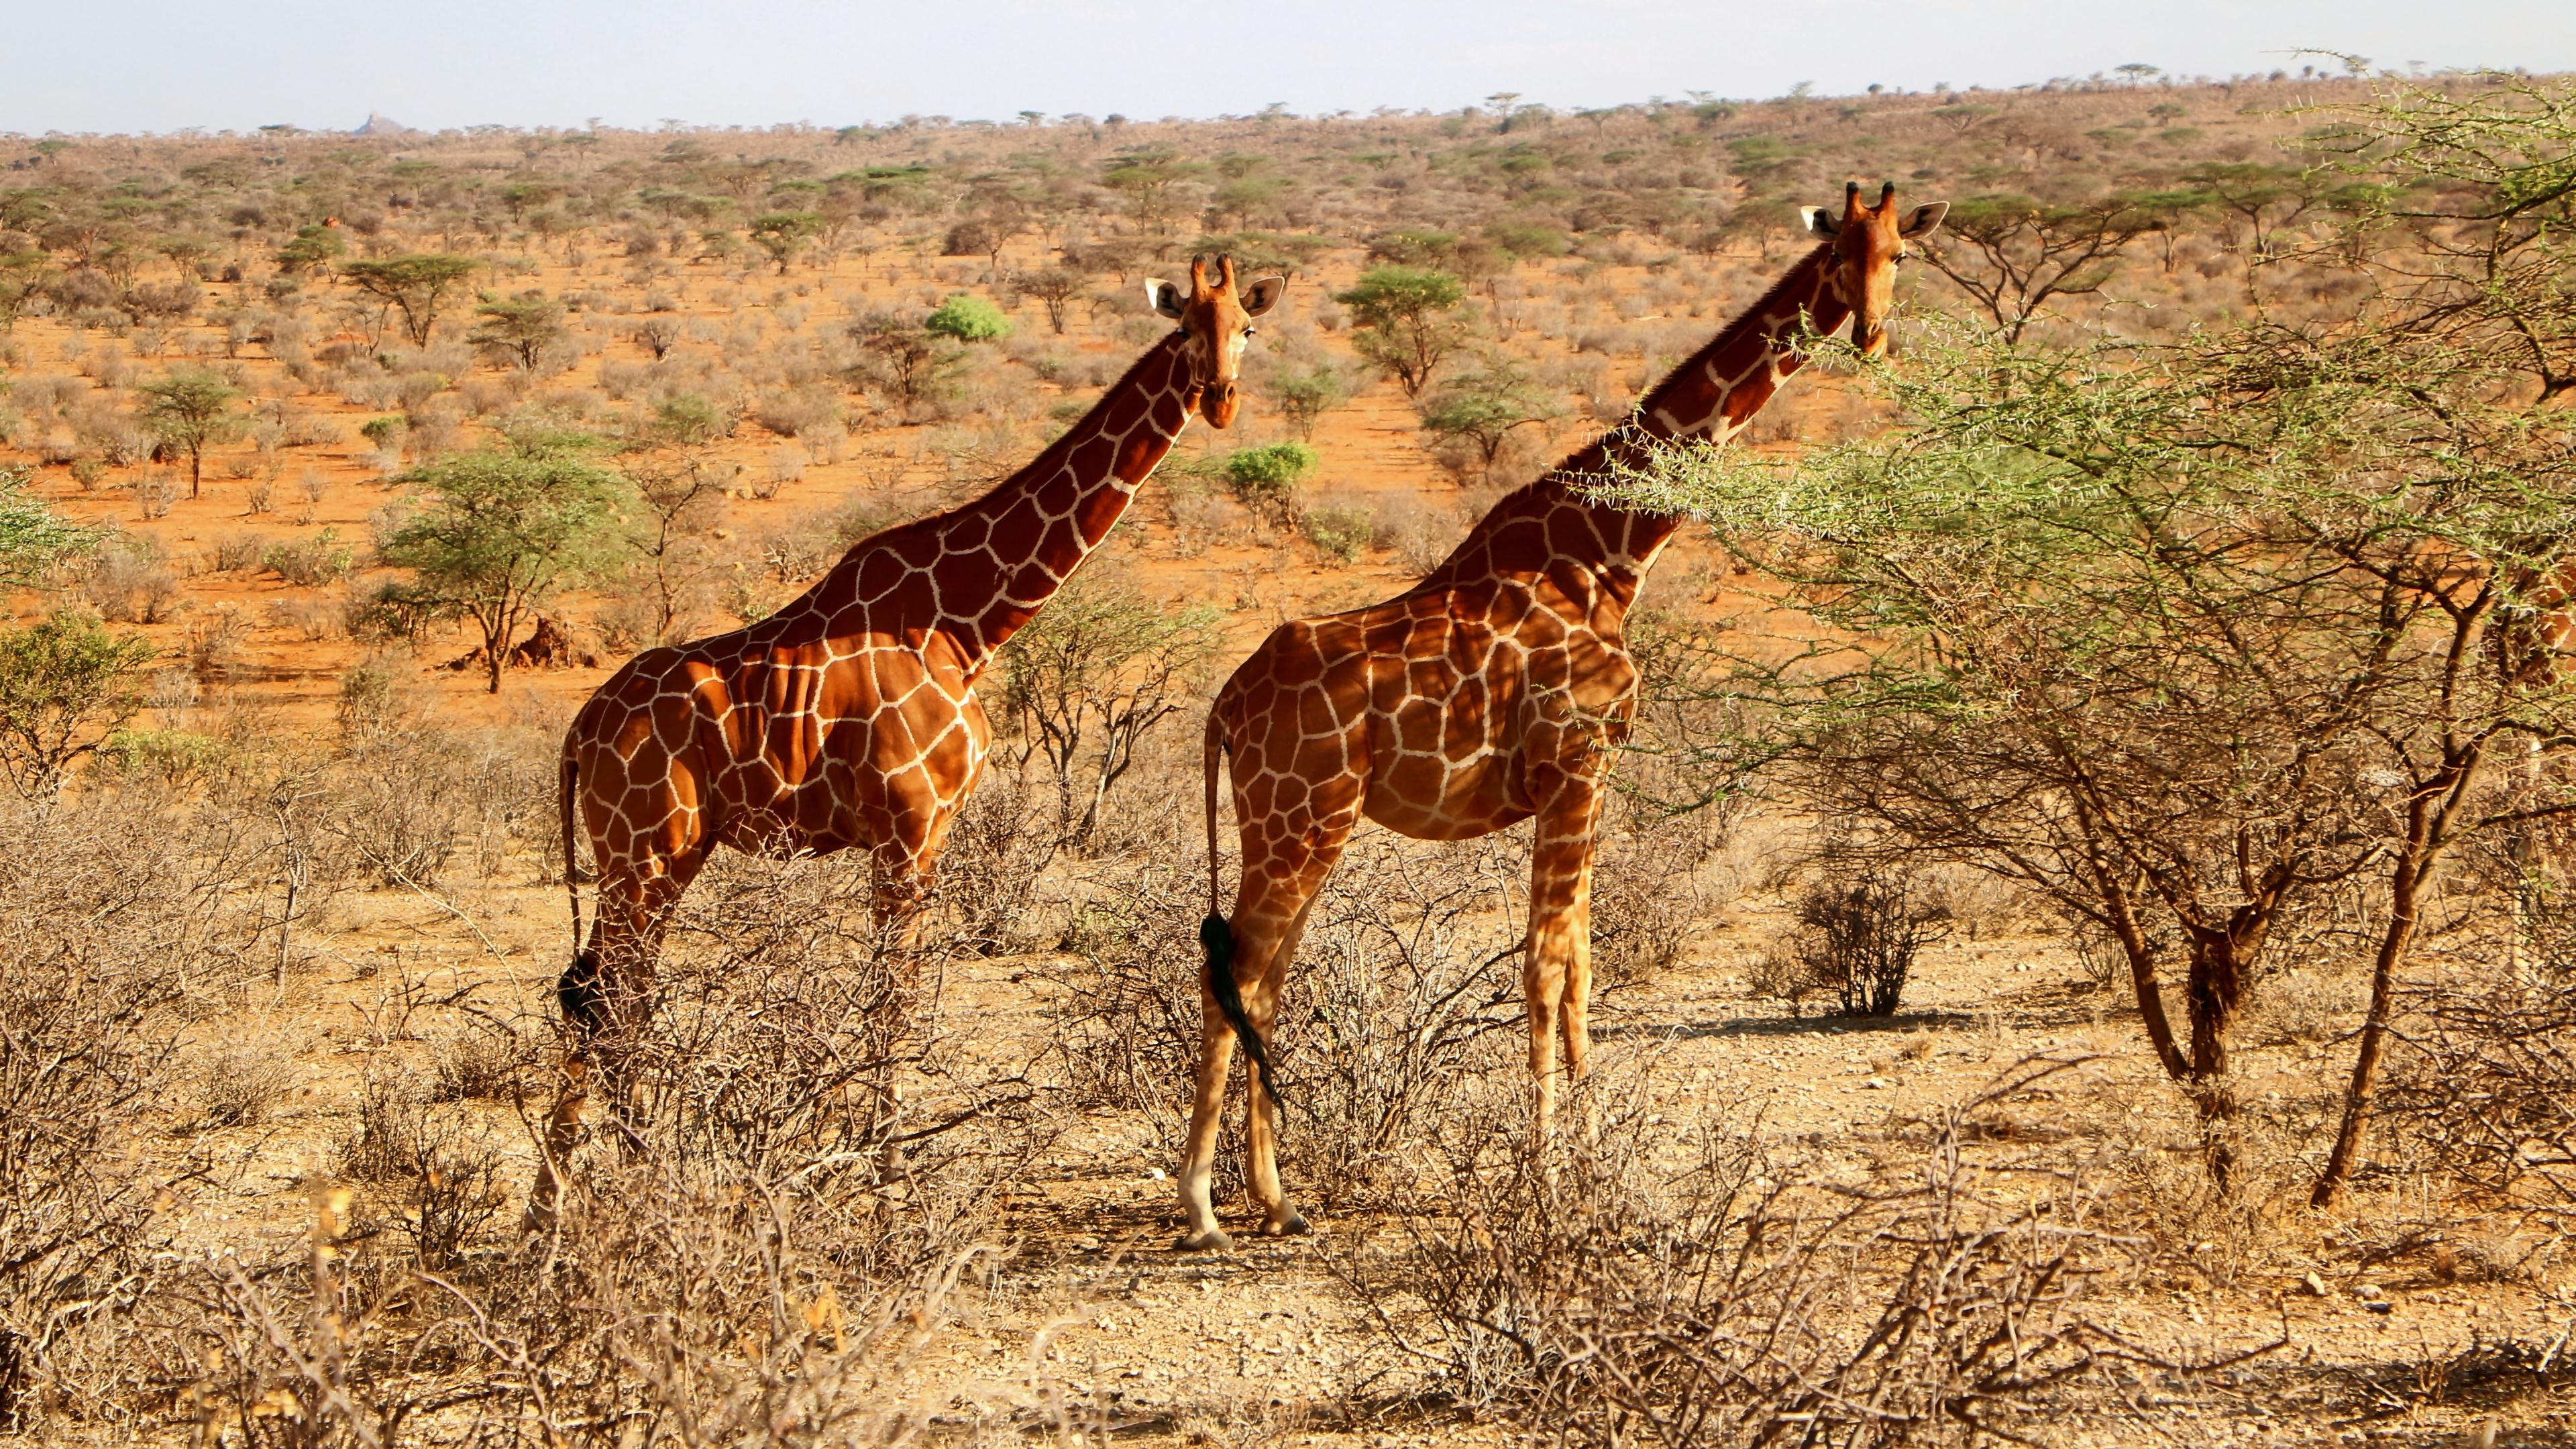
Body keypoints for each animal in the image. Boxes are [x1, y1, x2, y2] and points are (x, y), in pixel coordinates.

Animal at [1179, 180, 1937, 1248]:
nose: (1869, 335)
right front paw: (1542, 1177)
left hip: (1295, 827)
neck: (1614, 547)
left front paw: (1585, 1157)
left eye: (1902, 254)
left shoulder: (1592, 778)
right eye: (1838, 258)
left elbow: (1581, 963)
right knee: (1239, 978)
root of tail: (1223, 709)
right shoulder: (1576, 766)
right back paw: (1203, 1206)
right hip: (1299, 821)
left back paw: (1276, 1201)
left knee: (1266, 980)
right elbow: (1544, 966)